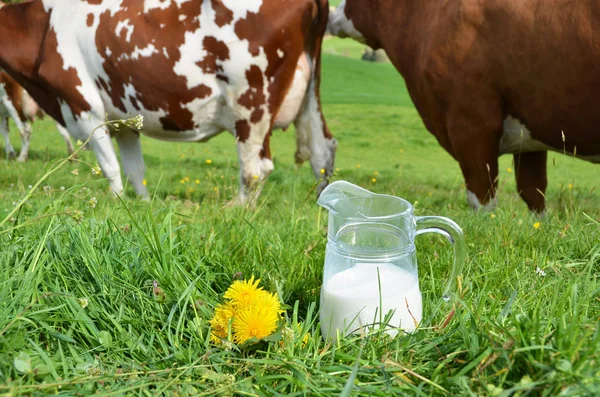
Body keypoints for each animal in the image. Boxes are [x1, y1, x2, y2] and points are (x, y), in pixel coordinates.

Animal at [0, 0, 338, 203]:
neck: (43, 27)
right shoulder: (123, 119)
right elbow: (135, 170)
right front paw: (143, 206)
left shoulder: (85, 107)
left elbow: (110, 167)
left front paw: (115, 203)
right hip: (309, 94)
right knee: (323, 153)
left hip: (251, 102)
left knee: (255, 167)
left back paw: (236, 210)